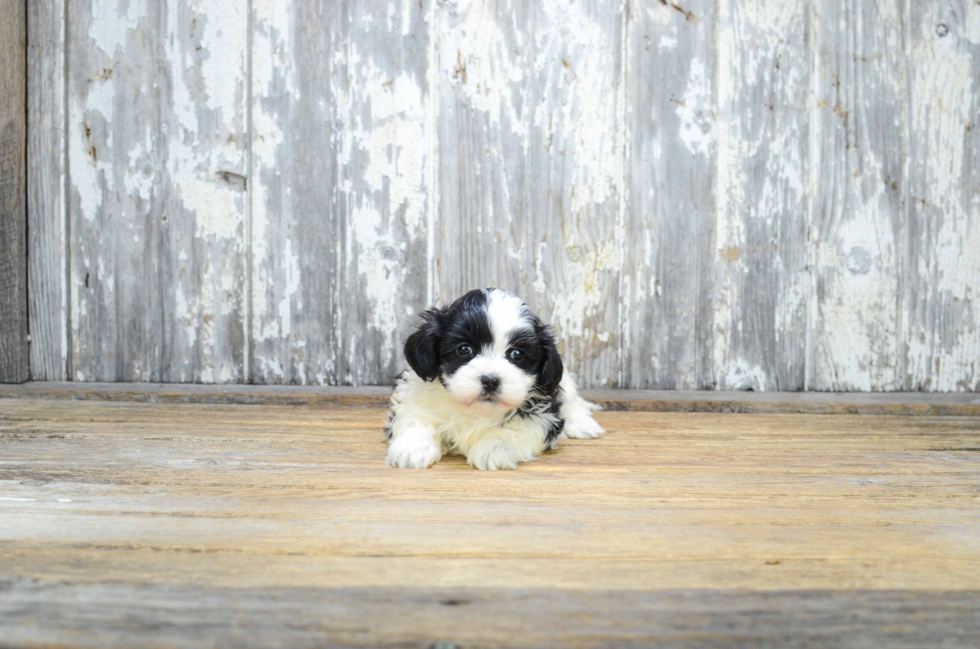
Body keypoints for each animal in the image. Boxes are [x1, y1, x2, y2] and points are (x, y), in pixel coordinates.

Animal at [384, 288, 604, 466]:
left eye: (516, 354)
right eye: (464, 349)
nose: (490, 381)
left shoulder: (545, 417)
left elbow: (518, 430)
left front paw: (492, 449)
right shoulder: (414, 395)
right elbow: (416, 418)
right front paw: (412, 448)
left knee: (573, 402)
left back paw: (583, 424)